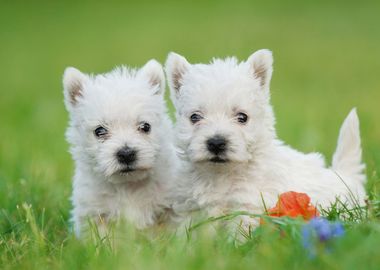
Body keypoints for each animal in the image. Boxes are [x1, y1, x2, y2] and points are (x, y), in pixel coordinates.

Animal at [165, 49, 366, 229]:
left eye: (242, 117)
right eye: (195, 117)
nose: (216, 143)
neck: (221, 175)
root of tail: (345, 175)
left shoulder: (247, 207)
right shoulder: (191, 209)